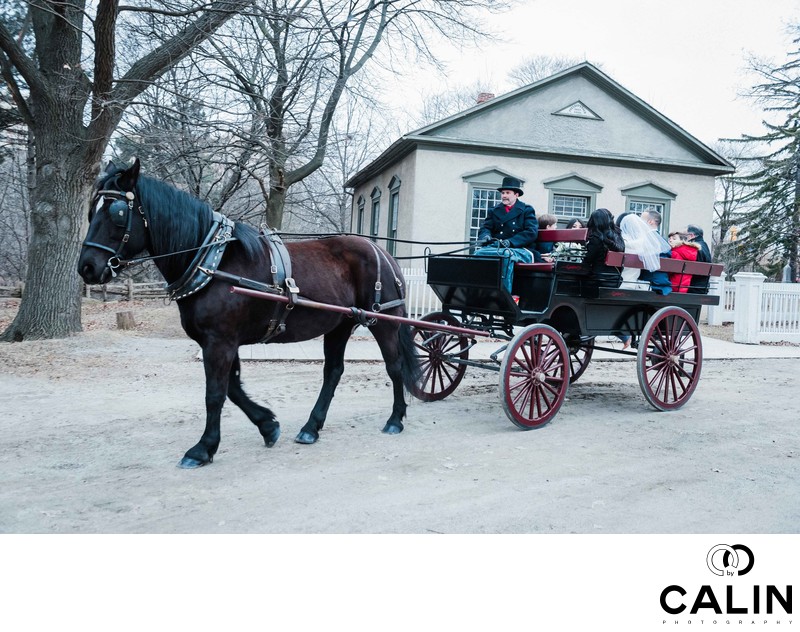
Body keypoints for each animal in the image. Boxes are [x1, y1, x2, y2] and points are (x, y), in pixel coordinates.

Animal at [78, 159, 418, 470]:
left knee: (394, 366)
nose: (87, 267)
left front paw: (202, 448)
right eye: (92, 210)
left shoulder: (220, 341)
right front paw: (267, 425)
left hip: (383, 321)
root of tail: (382, 251)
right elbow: (232, 387)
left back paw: (395, 419)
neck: (212, 261)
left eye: (117, 213)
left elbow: (215, 393)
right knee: (333, 372)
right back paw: (311, 427)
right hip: (340, 325)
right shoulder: (222, 342)